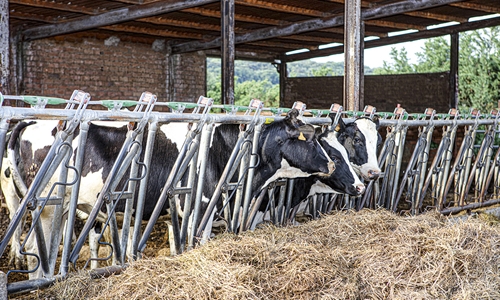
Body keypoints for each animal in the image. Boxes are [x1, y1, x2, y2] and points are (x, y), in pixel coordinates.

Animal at [2, 108, 336, 278]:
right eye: (310, 140)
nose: (332, 164)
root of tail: (32, 121)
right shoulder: (200, 208)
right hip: (46, 206)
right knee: (32, 249)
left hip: (52, 209)